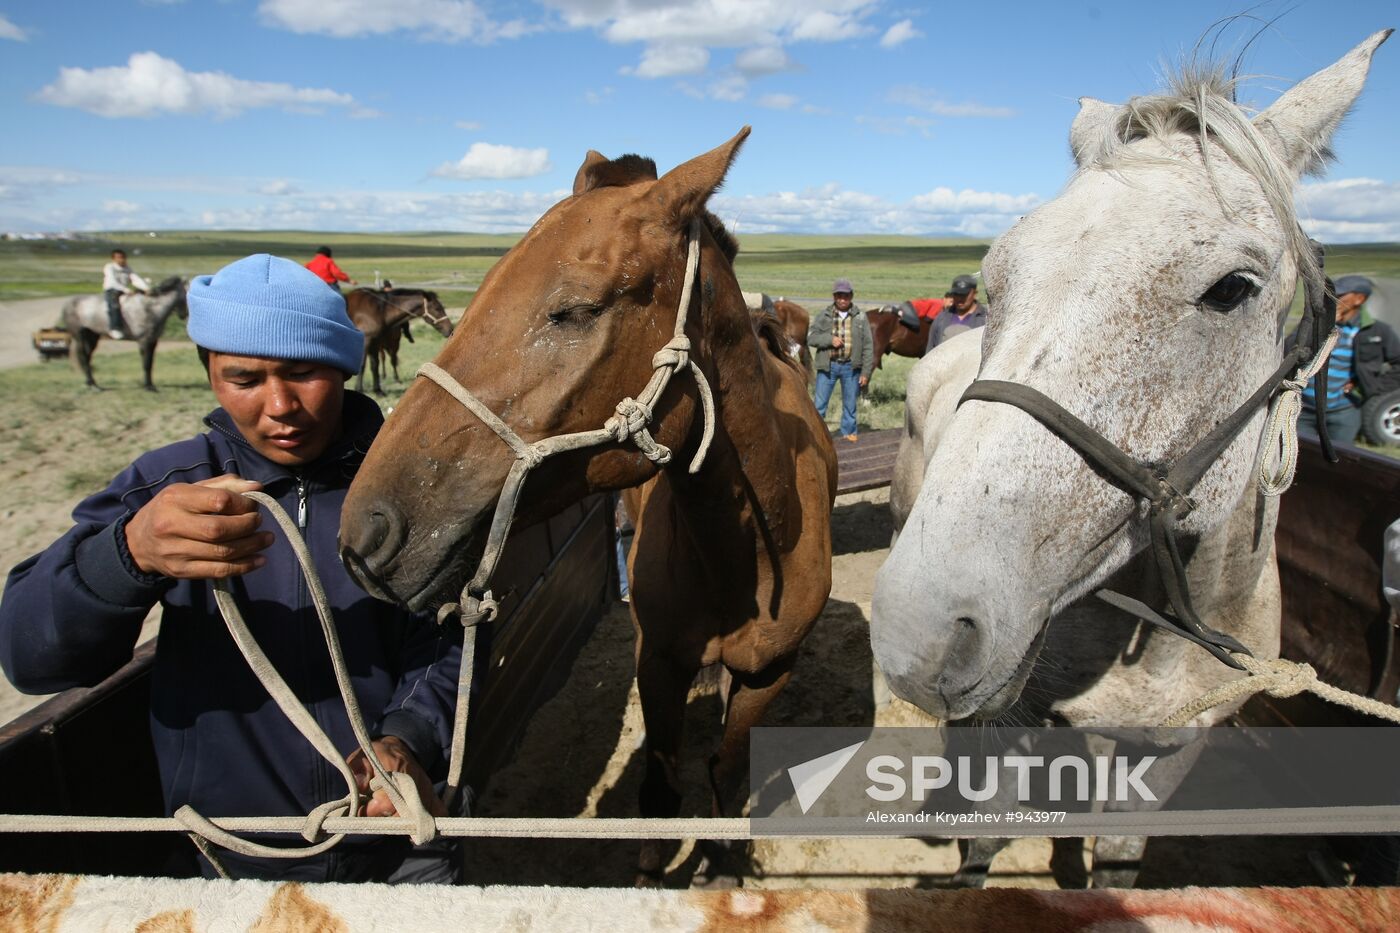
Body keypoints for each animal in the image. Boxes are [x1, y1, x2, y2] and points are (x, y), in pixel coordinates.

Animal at [59, 275, 189, 392]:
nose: (184, 315)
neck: (150, 309)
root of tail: (68, 304)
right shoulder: (144, 341)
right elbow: (146, 364)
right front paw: (148, 387)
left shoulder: (153, 341)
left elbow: (150, 364)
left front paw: (150, 385)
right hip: (79, 335)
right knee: (84, 357)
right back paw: (94, 386)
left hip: (92, 336)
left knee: (87, 357)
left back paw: (92, 384)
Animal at [340, 127, 834, 885]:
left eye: (574, 309)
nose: (367, 530)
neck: (747, 554)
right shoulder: (657, 660)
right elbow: (659, 789)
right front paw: (654, 871)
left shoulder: (768, 674)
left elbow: (727, 774)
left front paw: (723, 862)